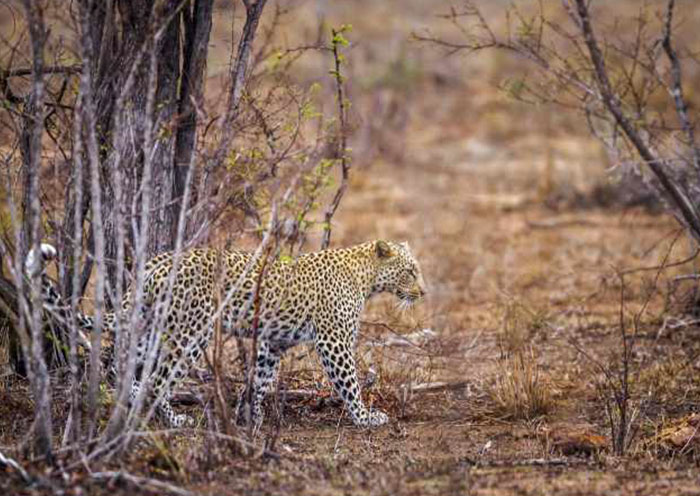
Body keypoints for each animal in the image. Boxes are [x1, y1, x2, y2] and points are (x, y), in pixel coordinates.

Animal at [26, 239, 426, 426]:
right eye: (410, 270)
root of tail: (155, 263)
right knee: (158, 379)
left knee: (123, 368)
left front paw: (251, 417)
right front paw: (365, 418)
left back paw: (130, 400)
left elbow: (261, 379)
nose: (423, 293)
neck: (366, 276)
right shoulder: (334, 341)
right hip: (192, 333)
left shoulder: (272, 342)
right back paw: (173, 419)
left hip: (152, 326)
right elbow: (349, 383)